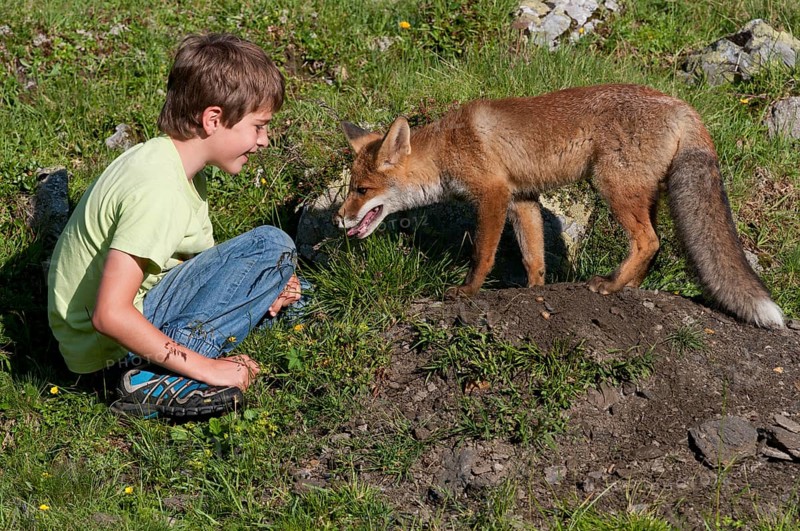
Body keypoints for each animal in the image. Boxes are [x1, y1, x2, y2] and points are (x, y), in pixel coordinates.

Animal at [333, 84, 785, 329]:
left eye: (361, 190)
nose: (339, 218)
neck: (447, 149)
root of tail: (682, 105)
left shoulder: (493, 194)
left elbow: (482, 254)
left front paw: (467, 291)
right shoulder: (523, 199)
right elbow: (534, 257)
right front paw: (534, 293)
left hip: (611, 186)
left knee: (649, 242)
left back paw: (611, 286)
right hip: (642, 194)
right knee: (652, 244)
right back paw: (629, 287)